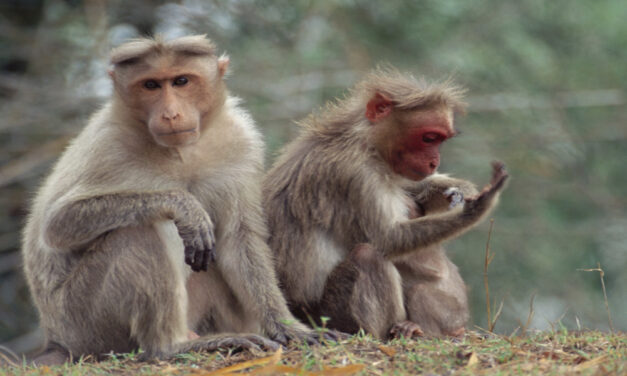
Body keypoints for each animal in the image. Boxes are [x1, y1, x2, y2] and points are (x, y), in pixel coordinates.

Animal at [23, 34, 318, 364]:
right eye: (151, 85)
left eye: (181, 81)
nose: (170, 114)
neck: (181, 153)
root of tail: (57, 340)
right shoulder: (107, 145)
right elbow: (58, 225)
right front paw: (184, 206)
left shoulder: (242, 142)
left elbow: (237, 239)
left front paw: (287, 326)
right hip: (85, 321)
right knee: (140, 233)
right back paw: (171, 346)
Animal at [262, 69, 508, 340]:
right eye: (429, 138)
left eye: (440, 140)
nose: (434, 162)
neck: (364, 140)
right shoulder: (357, 173)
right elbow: (387, 239)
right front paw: (477, 209)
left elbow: (413, 187)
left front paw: (461, 191)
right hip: (327, 316)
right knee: (368, 256)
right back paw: (391, 333)